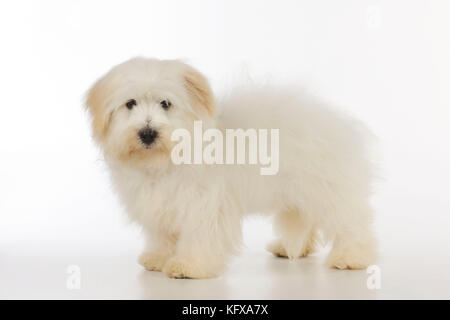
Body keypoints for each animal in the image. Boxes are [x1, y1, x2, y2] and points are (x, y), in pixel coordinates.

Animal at [85, 57, 376, 278]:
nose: (147, 133)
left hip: (327, 188)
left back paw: (351, 257)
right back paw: (290, 248)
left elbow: (200, 236)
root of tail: (333, 120)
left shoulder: (204, 204)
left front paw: (189, 266)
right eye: (130, 103)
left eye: (165, 103)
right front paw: (158, 258)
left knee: (350, 222)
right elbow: (163, 236)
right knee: (305, 219)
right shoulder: (161, 206)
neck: (165, 160)